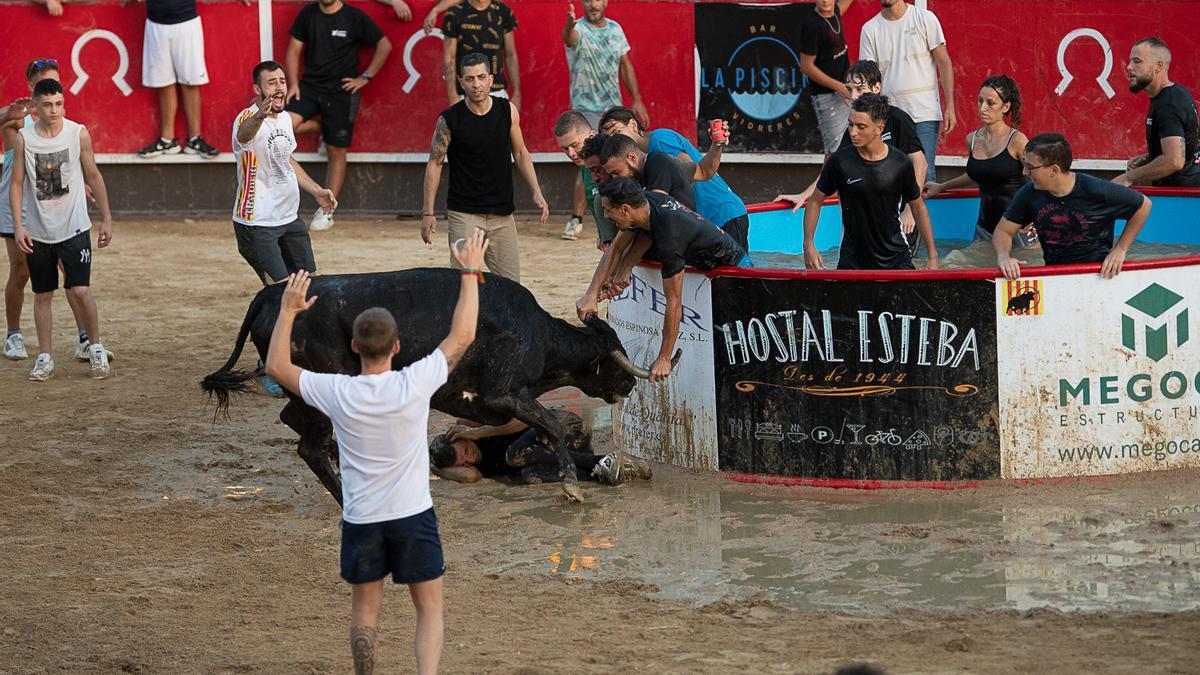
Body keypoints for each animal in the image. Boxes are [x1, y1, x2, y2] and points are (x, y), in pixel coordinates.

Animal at [201, 266, 662, 499]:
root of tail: (272, 295)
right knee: (310, 446)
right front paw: (570, 485)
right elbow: (549, 424)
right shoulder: (502, 394)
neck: (536, 333)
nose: (630, 386)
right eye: (614, 359)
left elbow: (547, 430)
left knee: (294, 422)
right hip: (323, 390)